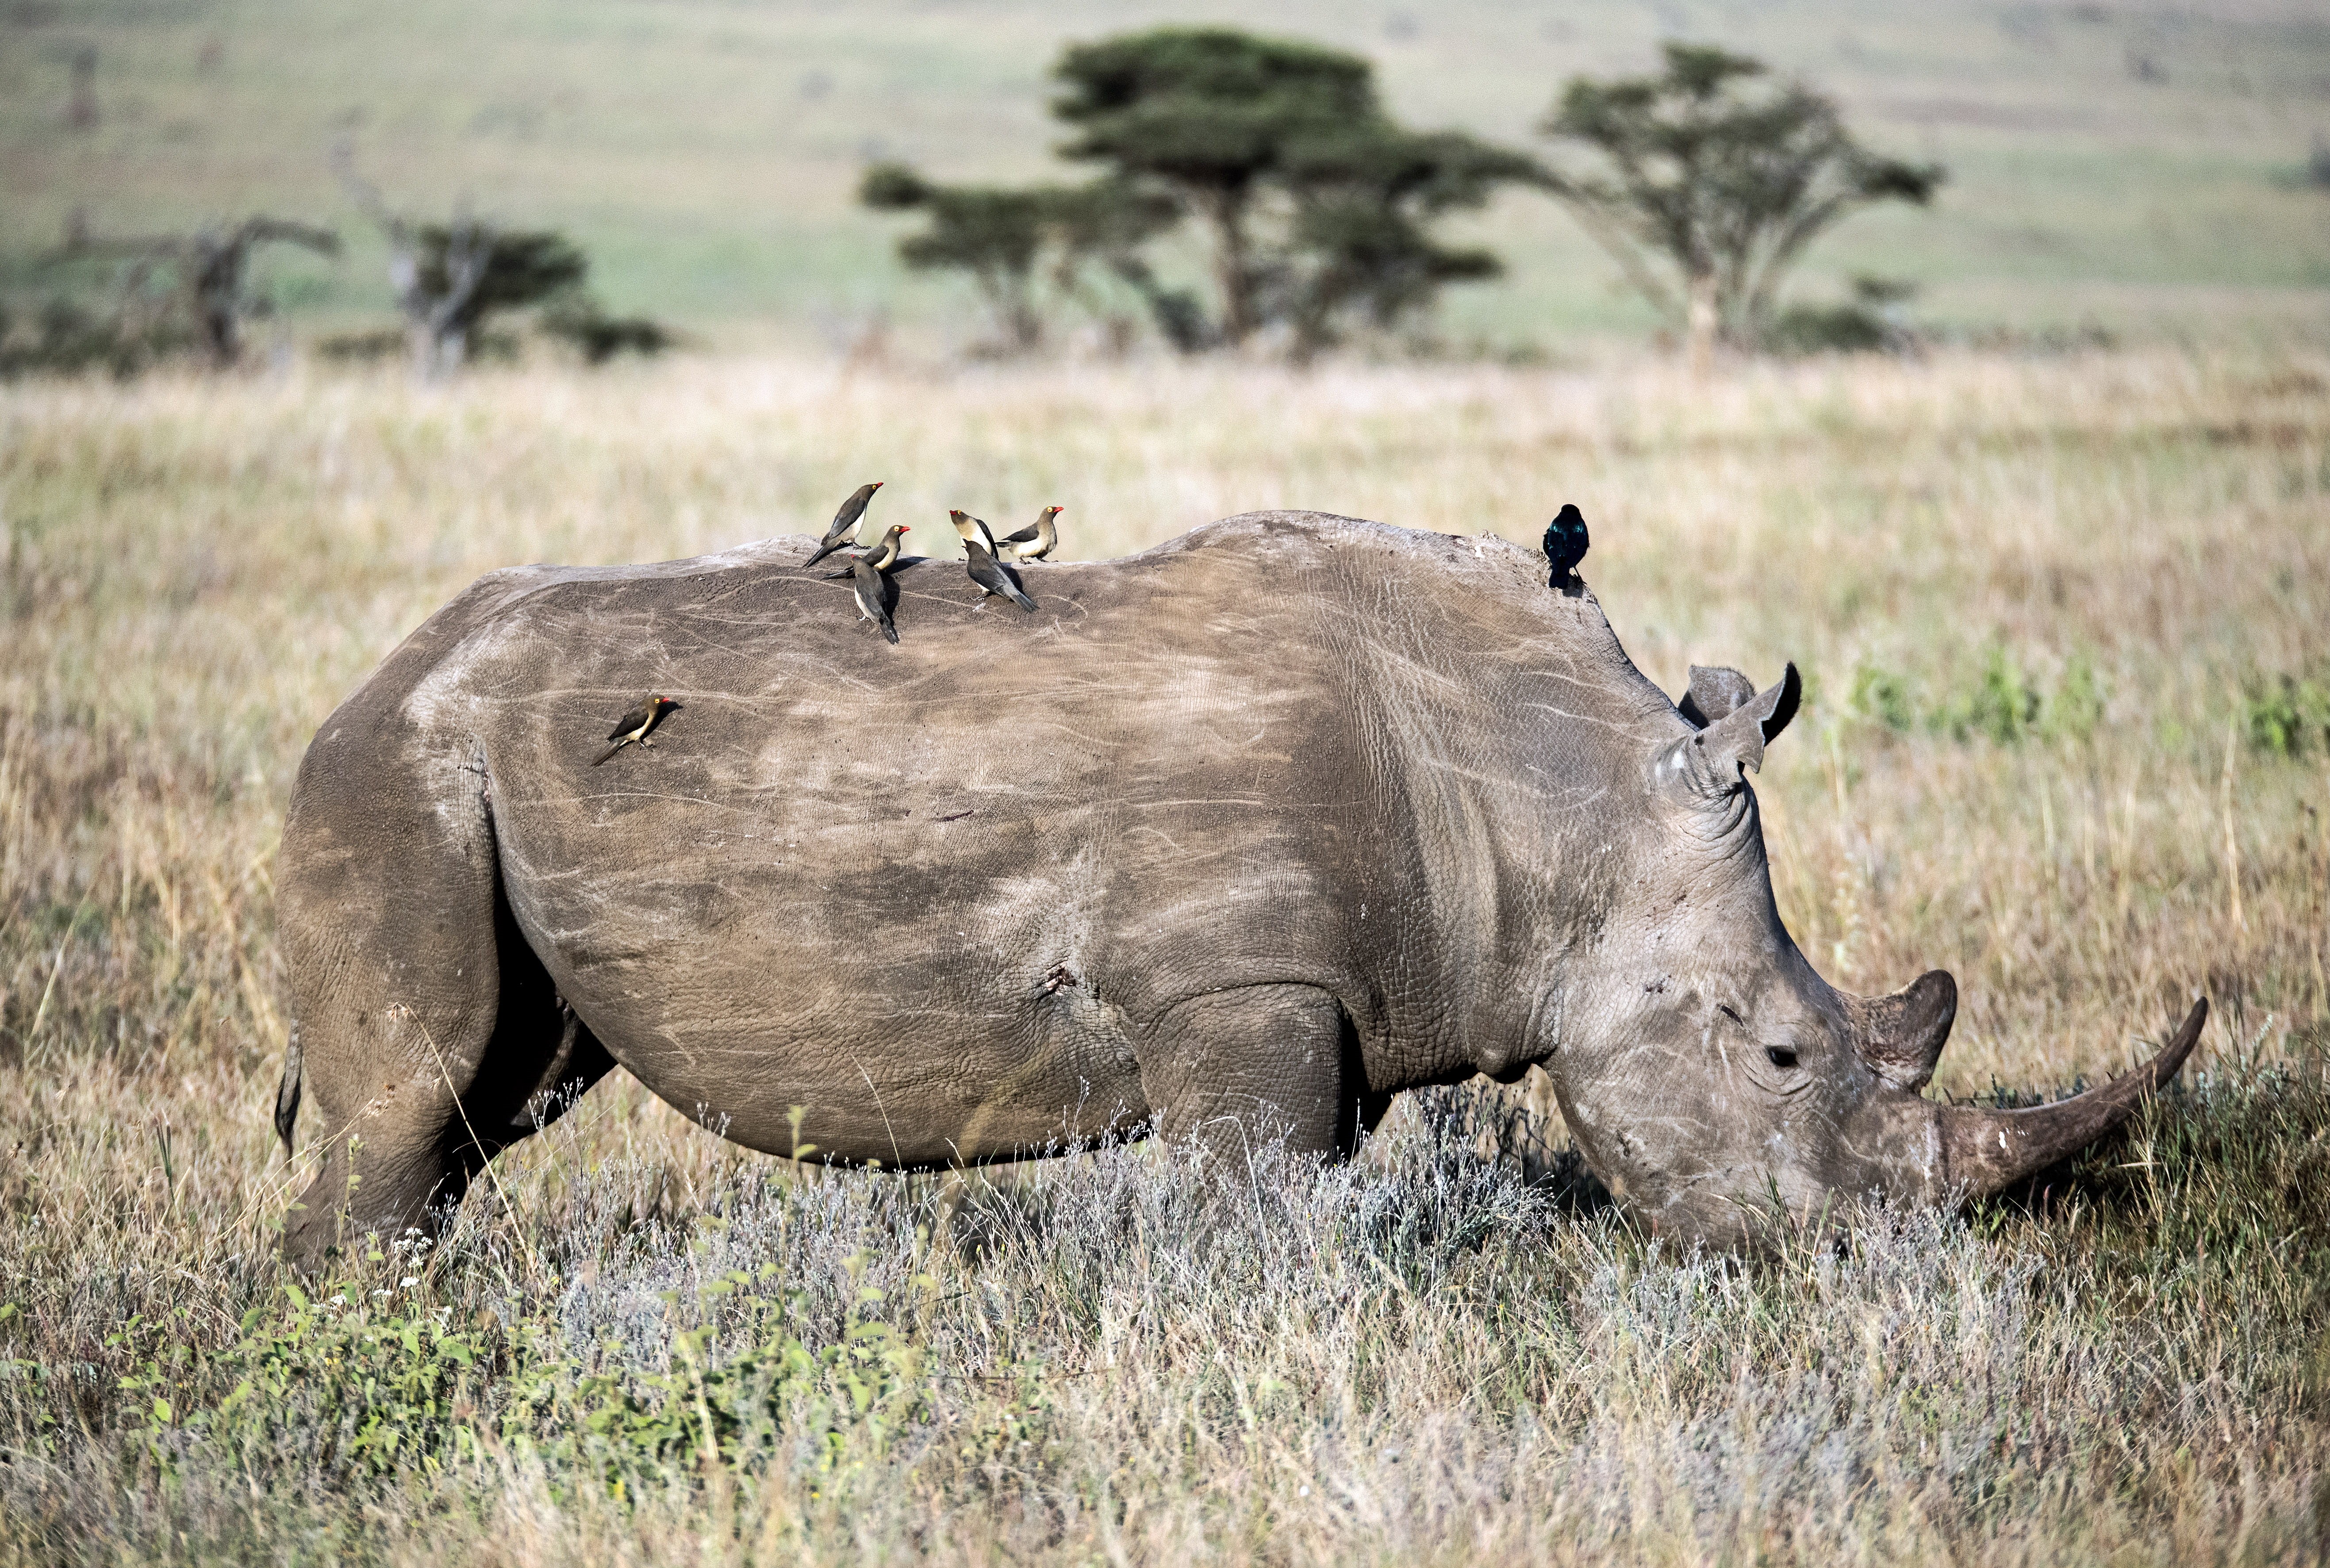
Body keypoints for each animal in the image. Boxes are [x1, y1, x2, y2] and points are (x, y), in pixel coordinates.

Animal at [273, 511, 2202, 1266]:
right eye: (1785, 1058)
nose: (1875, 1263)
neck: (1556, 800)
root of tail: (374, 672)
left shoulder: (1325, 1001)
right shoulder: (1238, 988)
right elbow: (1260, 1216)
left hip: (454, 773)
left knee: (496, 1098)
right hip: (398, 774)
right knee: (417, 1093)